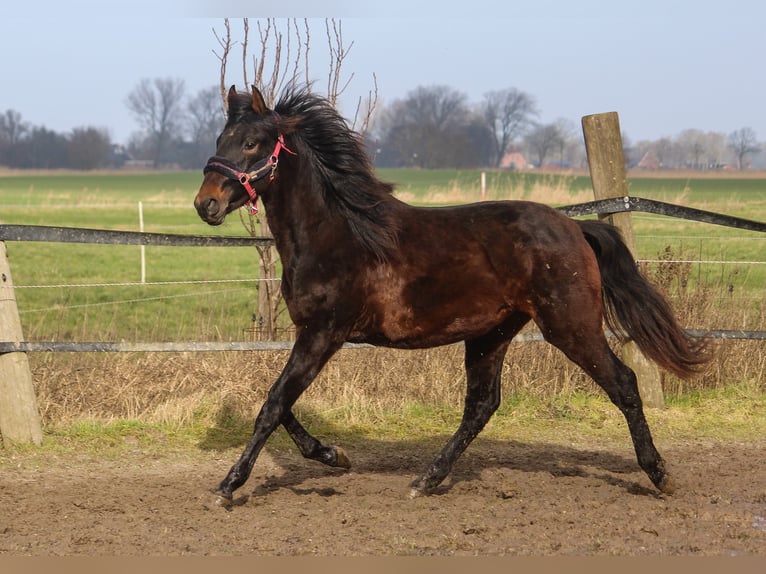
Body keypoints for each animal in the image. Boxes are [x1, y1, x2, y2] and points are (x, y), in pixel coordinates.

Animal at [195, 85, 712, 508]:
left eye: (250, 143)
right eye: (219, 140)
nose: (206, 203)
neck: (337, 234)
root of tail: (575, 227)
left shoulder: (325, 333)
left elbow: (273, 404)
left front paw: (229, 486)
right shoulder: (311, 334)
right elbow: (281, 404)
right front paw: (331, 454)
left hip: (571, 326)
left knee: (623, 383)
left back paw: (659, 475)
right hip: (491, 334)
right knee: (482, 405)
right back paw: (426, 479)